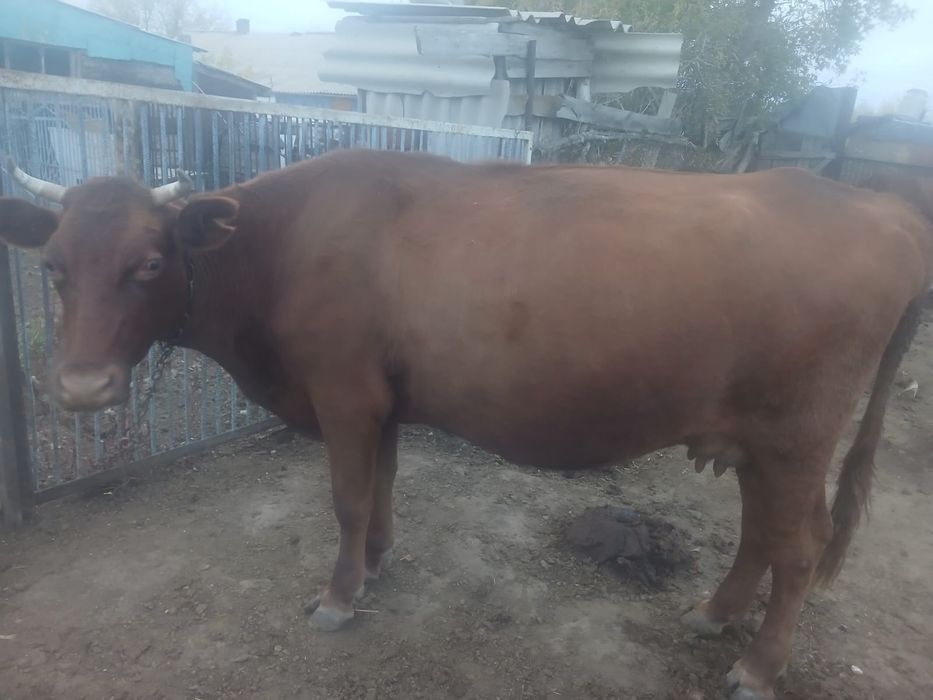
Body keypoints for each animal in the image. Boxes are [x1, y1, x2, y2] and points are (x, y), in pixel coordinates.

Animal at [1, 150, 931, 700]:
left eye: (149, 262)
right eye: (53, 268)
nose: (80, 388)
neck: (283, 243)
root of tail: (877, 207)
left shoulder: (342, 392)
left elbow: (346, 498)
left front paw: (338, 596)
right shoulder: (381, 401)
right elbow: (379, 486)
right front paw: (376, 562)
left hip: (796, 434)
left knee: (800, 546)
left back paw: (756, 666)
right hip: (755, 439)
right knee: (761, 533)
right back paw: (711, 614)